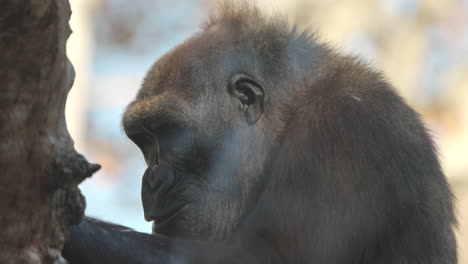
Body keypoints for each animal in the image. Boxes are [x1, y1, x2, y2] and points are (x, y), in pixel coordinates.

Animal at [61, 2, 458, 264]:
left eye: (169, 132)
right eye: (143, 141)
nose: (152, 180)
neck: (289, 116)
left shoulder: (347, 129)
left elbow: (265, 256)